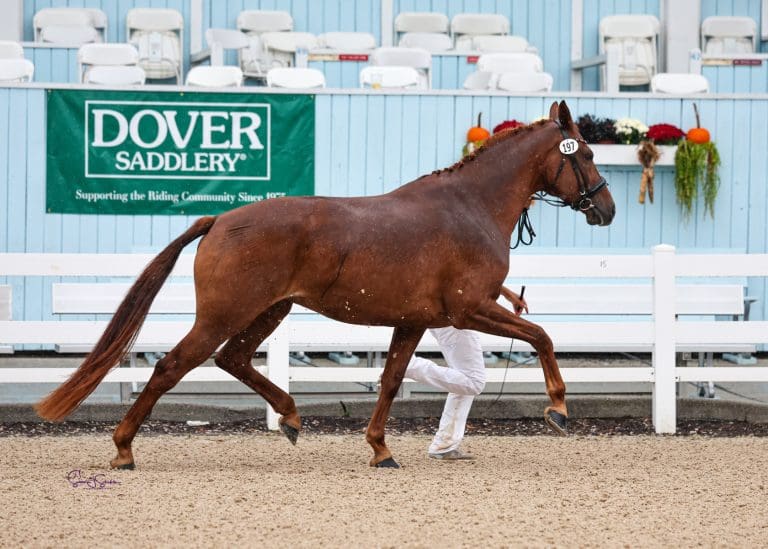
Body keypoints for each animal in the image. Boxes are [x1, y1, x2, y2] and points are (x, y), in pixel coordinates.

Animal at [35, 100, 615, 469]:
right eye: (586, 154)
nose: (606, 209)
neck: (470, 207)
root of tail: (219, 220)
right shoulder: (468, 309)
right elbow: (542, 336)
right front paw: (558, 409)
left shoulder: (414, 321)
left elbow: (392, 380)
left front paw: (381, 449)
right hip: (226, 314)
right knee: (172, 367)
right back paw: (123, 448)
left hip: (270, 311)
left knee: (233, 359)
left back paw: (291, 416)